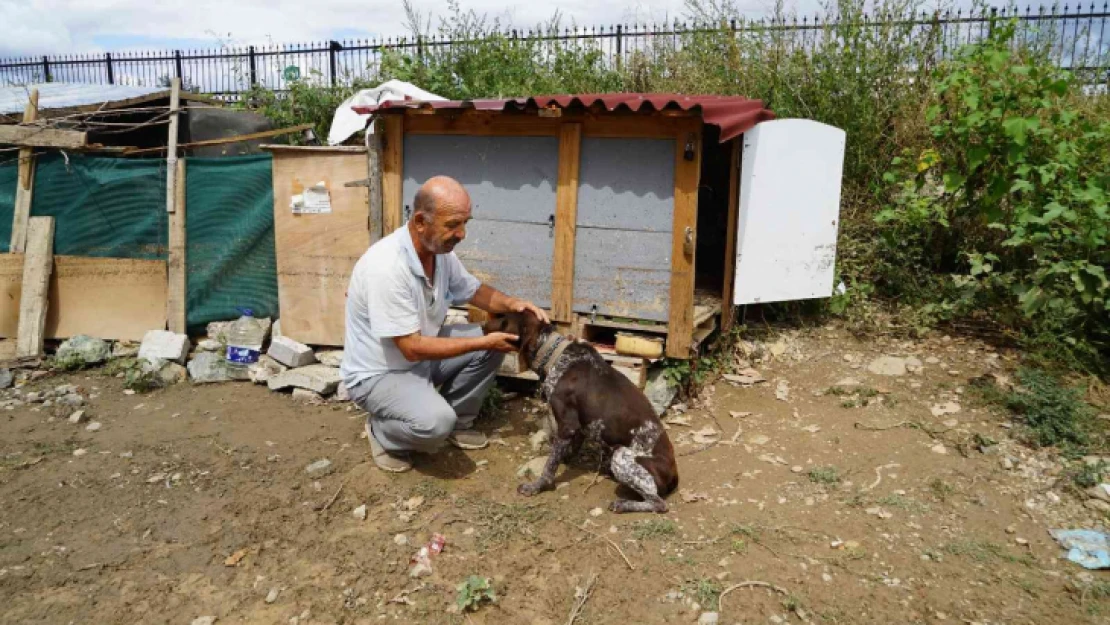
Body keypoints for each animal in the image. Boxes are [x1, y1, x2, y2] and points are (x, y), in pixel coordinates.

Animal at [490, 310, 679, 512]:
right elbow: (565, 450)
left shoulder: (567, 426)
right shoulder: (579, 427)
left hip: (622, 456)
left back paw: (623, 504)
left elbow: (550, 465)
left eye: (502, 319)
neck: (556, 356)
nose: (482, 323)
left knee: (658, 503)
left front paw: (537, 486)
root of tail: (674, 474)